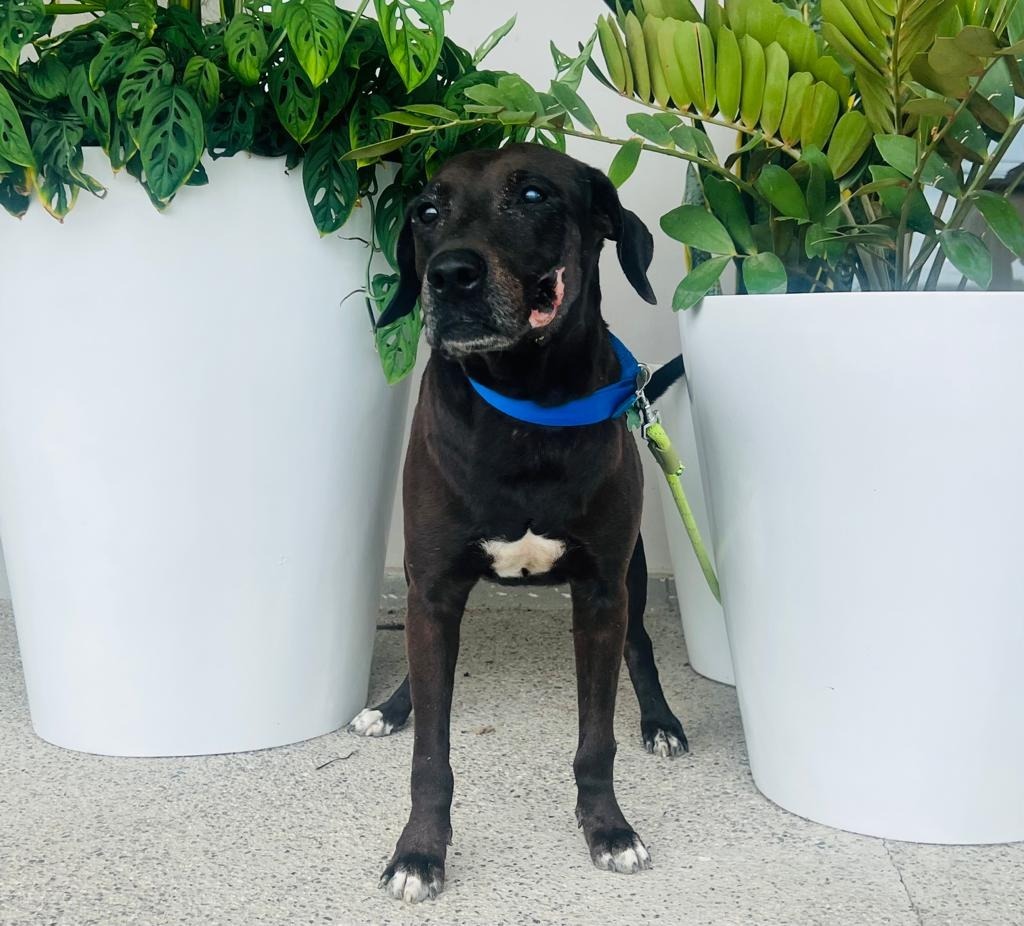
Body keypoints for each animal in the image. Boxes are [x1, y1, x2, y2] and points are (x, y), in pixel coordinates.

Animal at [350, 144, 688, 905]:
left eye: (532, 195)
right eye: (426, 211)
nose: (449, 275)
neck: (524, 401)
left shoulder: (601, 591)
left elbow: (597, 739)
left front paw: (609, 828)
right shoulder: (434, 587)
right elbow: (431, 753)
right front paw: (418, 852)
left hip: (634, 574)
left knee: (641, 646)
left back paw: (660, 722)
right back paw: (392, 705)